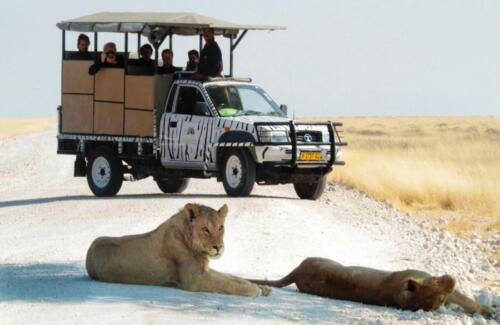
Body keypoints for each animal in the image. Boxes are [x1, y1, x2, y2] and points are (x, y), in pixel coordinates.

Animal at [86, 202, 270, 296]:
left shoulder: (204, 270)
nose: (218, 247)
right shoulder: (194, 279)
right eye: (205, 229)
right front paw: (253, 290)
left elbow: (233, 278)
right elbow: (226, 284)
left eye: (220, 227)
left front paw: (261, 287)